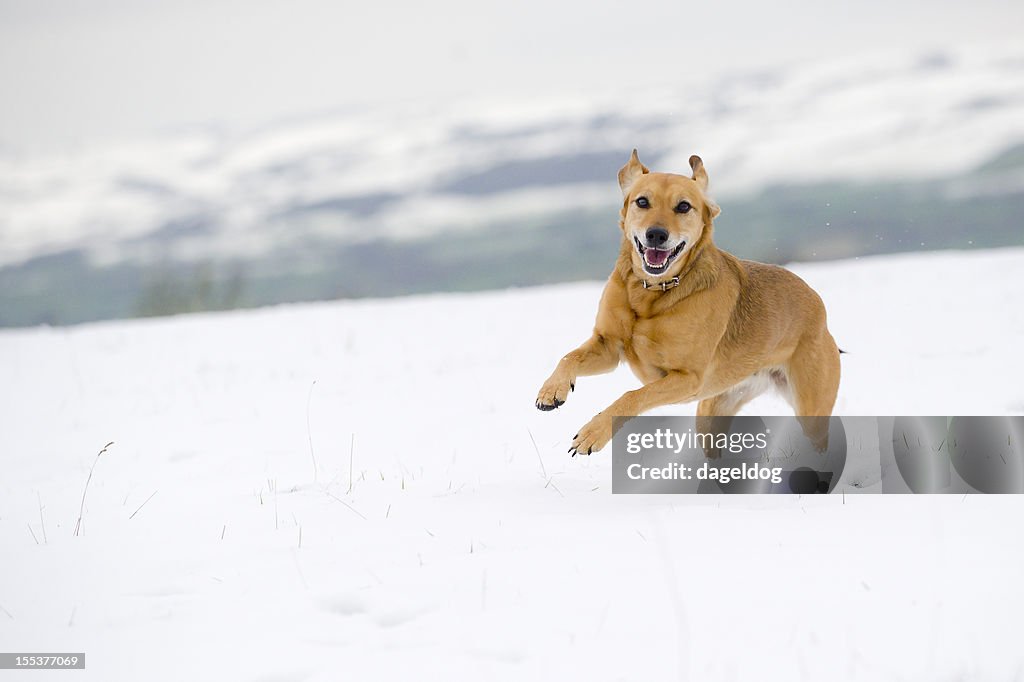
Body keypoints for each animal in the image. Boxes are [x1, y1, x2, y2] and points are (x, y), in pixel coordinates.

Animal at [536, 151, 839, 454]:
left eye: (683, 206)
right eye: (642, 201)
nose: (656, 234)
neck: (654, 292)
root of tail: (818, 305)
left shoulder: (687, 378)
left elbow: (632, 396)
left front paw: (593, 433)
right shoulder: (608, 346)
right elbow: (569, 357)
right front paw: (552, 391)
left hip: (811, 409)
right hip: (714, 411)